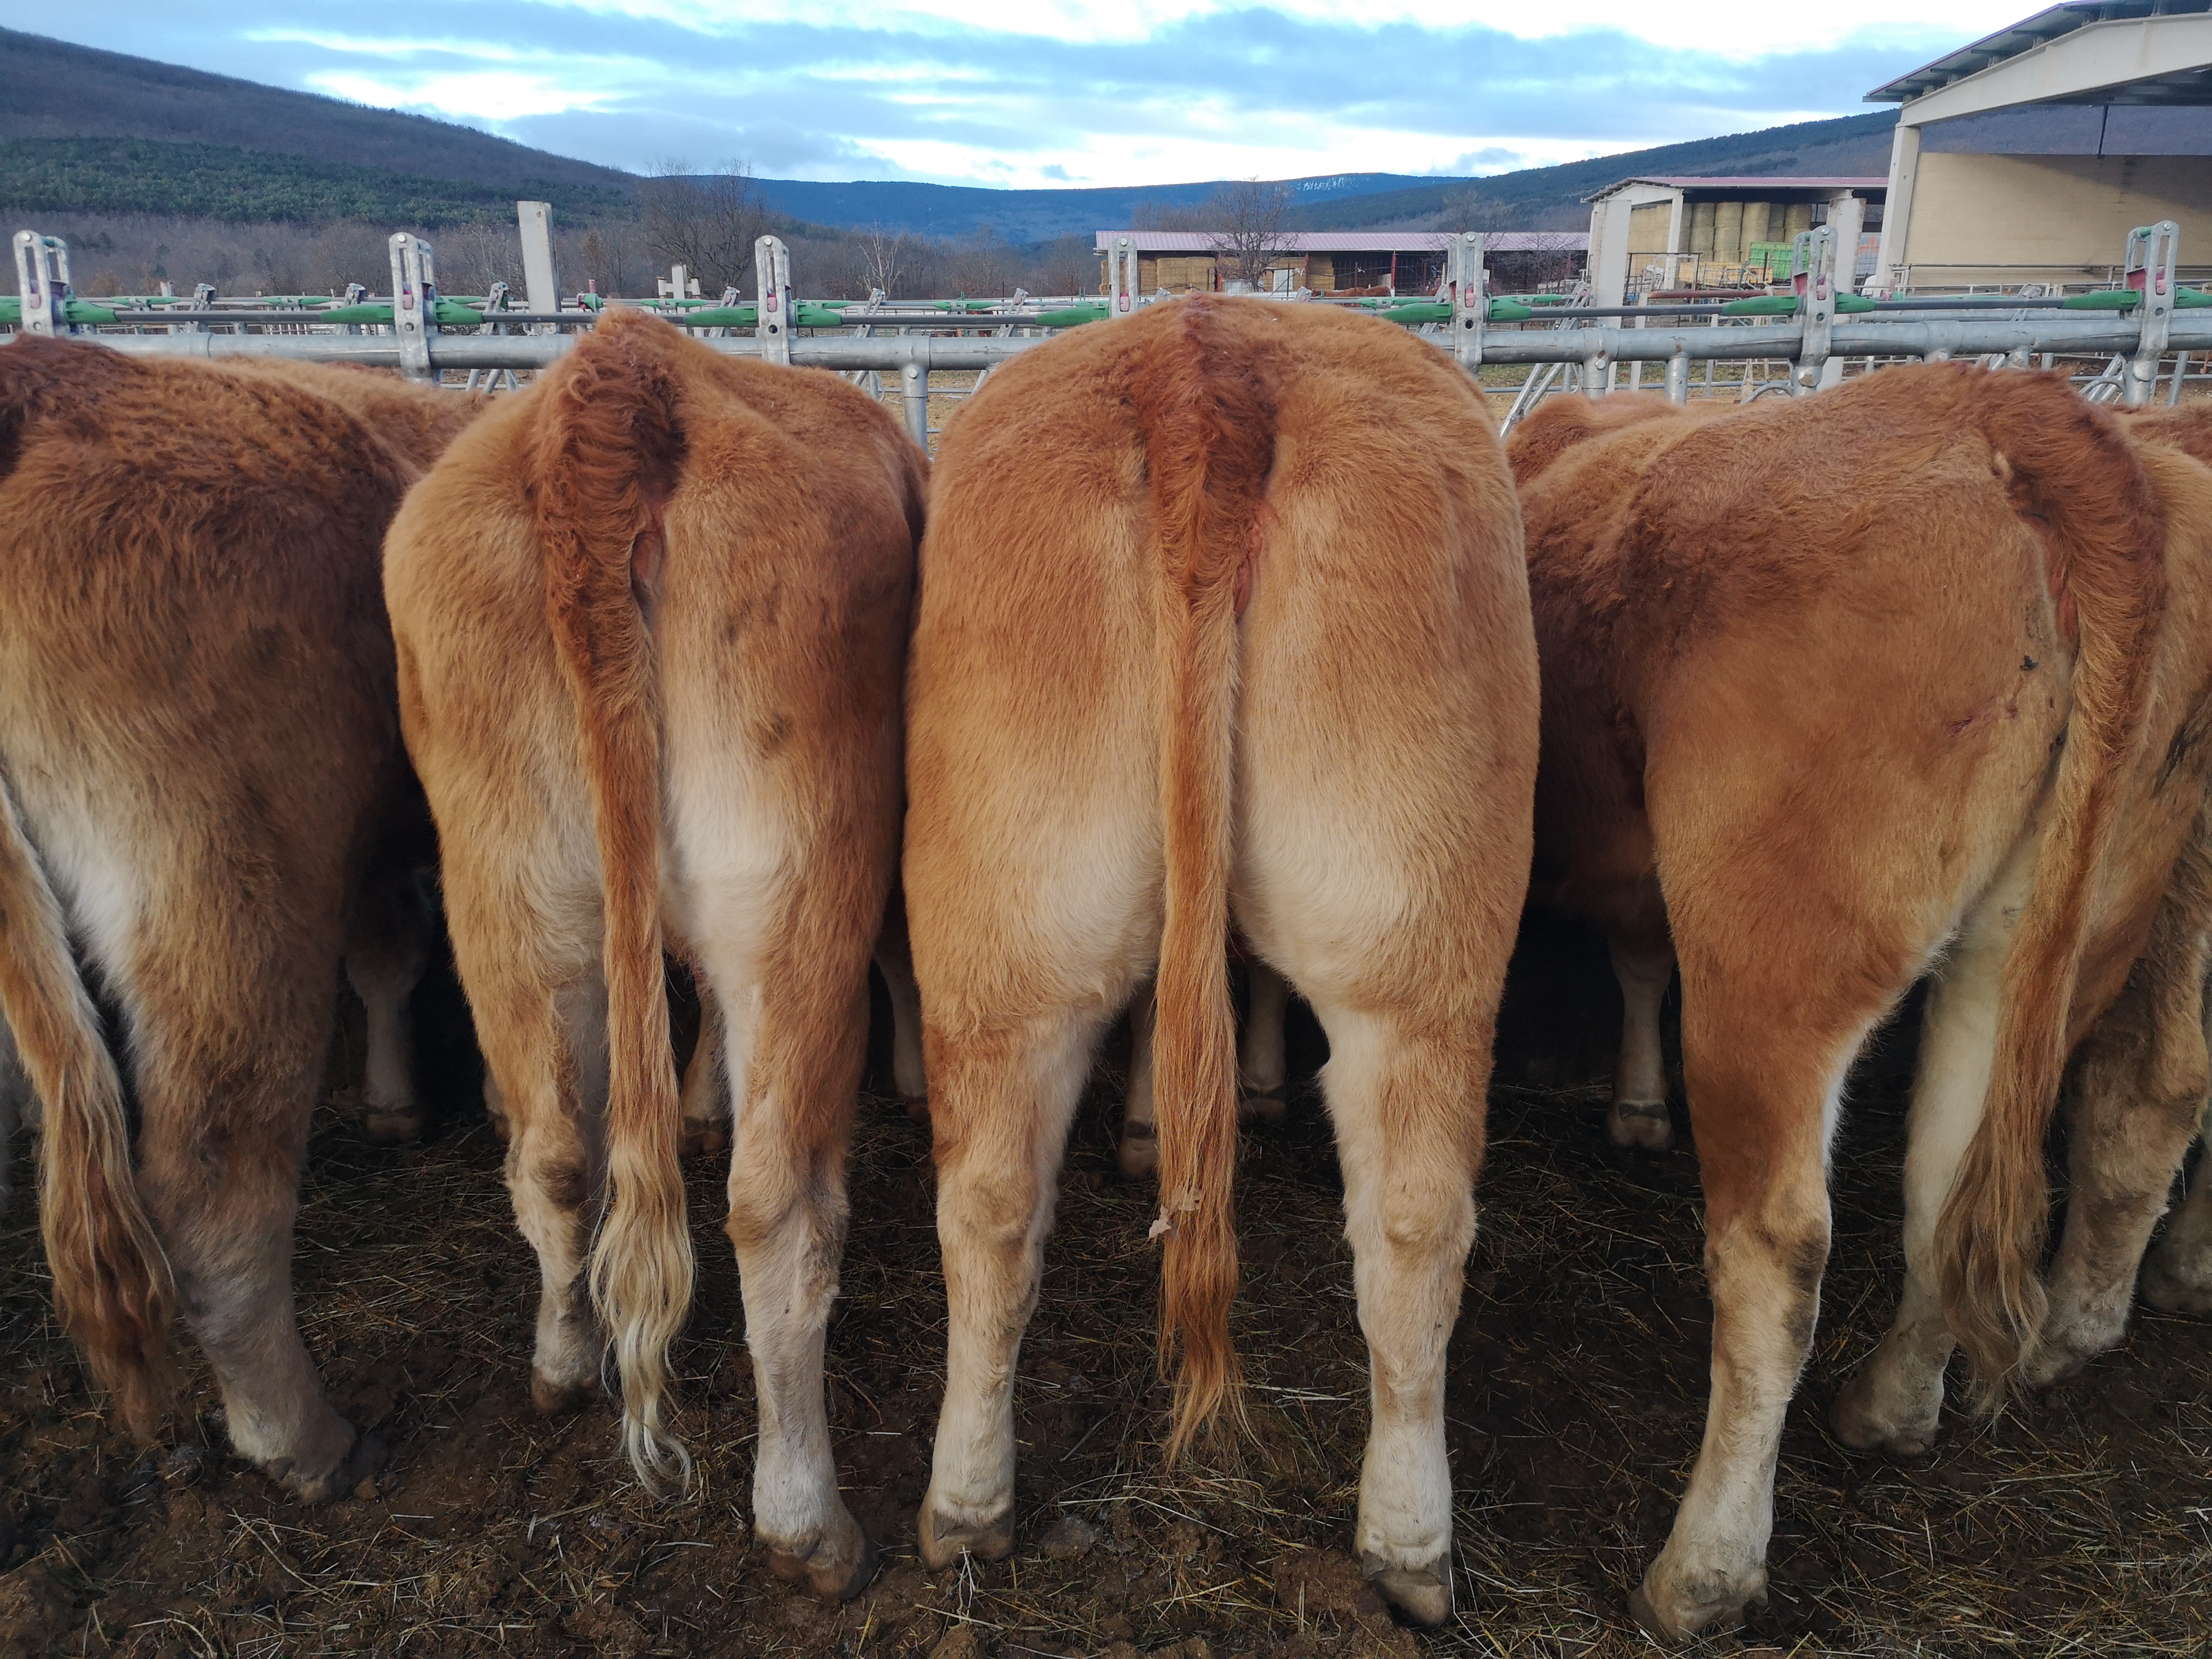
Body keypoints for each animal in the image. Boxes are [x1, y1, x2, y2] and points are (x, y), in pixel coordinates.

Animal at [0, 337, 482, 1500]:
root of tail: (37, 377)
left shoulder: (368, 835)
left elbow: (386, 960)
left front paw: (393, 1100)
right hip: (221, 889)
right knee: (211, 1188)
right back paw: (301, 1437)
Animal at [382, 308, 925, 1601]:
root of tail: (617, 381)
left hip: (508, 888)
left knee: (555, 1153)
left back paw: (561, 1365)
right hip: (798, 894)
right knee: (777, 1211)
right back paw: (806, 1523)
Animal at [900, 295, 1539, 1625]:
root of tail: (1204, 355)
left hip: (1014, 926)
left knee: (988, 1199)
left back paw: (970, 1510)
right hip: (1414, 948)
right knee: (1416, 1217)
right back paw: (1409, 1552)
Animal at [1508, 366, 2212, 1640]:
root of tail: (2012, 409)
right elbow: (1637, 959)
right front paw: (1635, 1103)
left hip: (1773, 970)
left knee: (1777, 1252)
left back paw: (1702, 1573)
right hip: (2052, 933)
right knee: (2010, 1159)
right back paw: (1910, 1401)